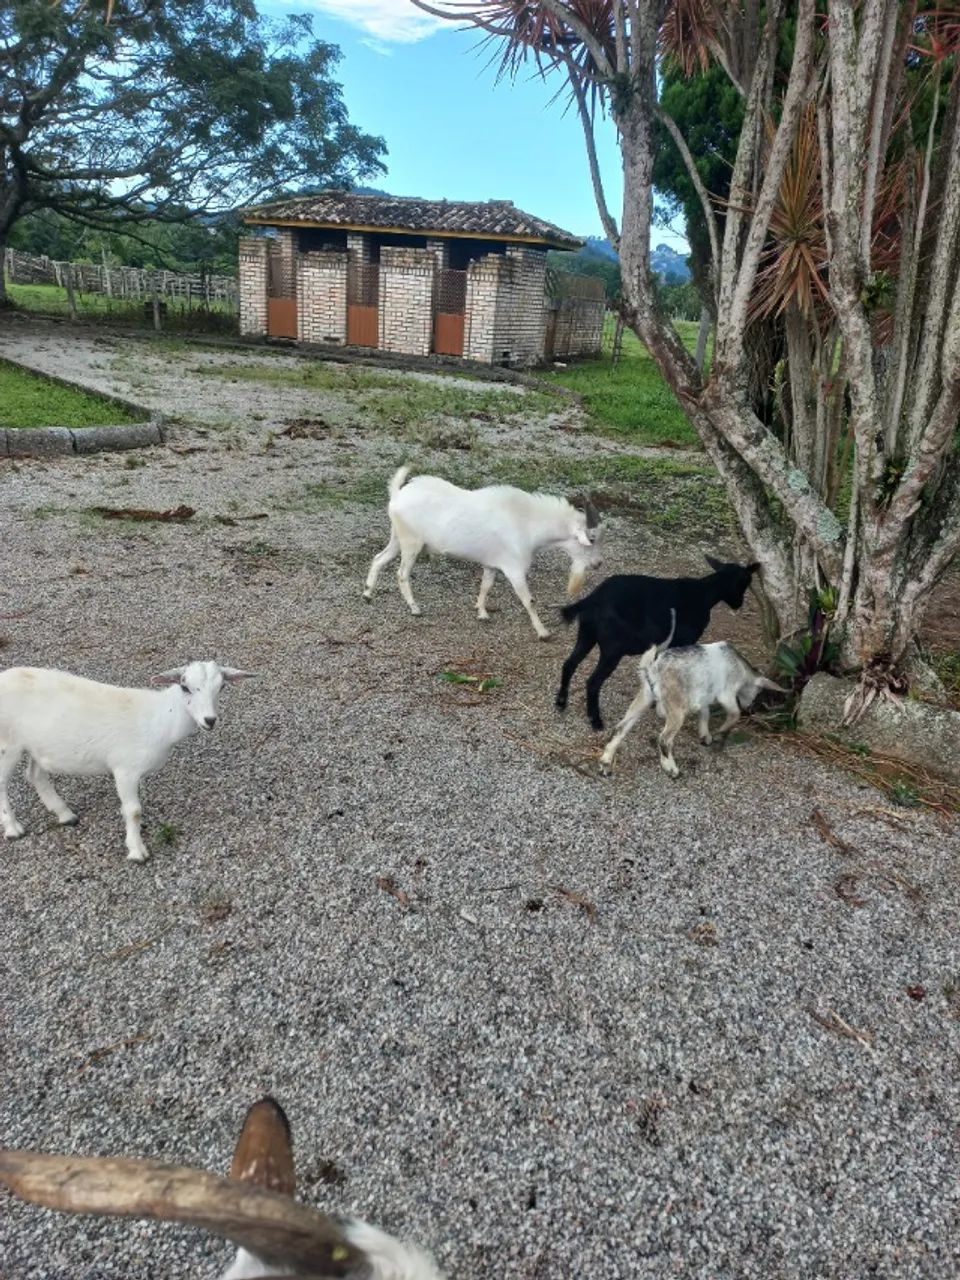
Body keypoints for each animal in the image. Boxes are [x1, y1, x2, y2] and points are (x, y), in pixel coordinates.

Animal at [0, 660, 253, 862]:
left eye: (222, 687)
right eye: (184, 686)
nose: (209, 720)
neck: (160, 719)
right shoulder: (124, 769)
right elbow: (133, 810)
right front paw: (137, 851)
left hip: (36, 744)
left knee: (35, 775)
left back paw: (65, 814)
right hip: (8, 743)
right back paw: (13, 829)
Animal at [363, 466, 602, 640]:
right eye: (591, 540)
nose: (598, 564)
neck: (528, 523)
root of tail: (397, 495)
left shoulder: (492, 564)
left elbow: (486, 586)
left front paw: (482, 613)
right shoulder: (514, 569)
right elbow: (529, 600)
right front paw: (543, 632)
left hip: (398, 538)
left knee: (379, 559)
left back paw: (367, 593)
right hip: (411, 543)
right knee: (402, 574)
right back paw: (415, 608)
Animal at [555, 555, 760, 730]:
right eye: (746, 582)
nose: (739, 604)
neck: (704, 594)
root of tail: (592, 599)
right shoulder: (683, 641)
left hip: (586, 635)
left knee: (569, 664)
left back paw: (561, 703)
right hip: (613, 649)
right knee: (593, 681)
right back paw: (595, 721)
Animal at [599, 638, 786, 778]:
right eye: (758, 692)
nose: (750, 708)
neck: (741, 668)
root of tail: (653, 669)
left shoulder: (704, 695)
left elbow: (705, 713)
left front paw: (705, 735)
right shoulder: (726, 693)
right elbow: (734, 714)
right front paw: (720, 732)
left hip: (645, 696)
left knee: (620, 727)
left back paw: (606, 762)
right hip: (676, 707)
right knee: (664, 738)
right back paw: (671, 769)